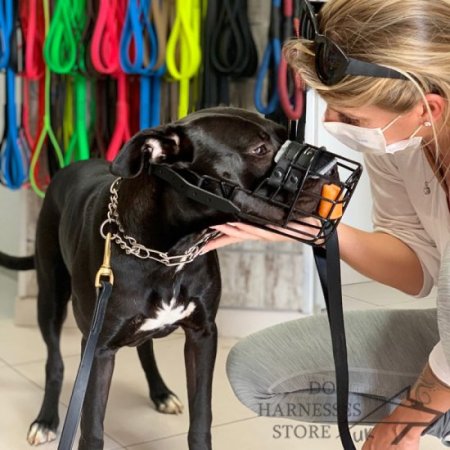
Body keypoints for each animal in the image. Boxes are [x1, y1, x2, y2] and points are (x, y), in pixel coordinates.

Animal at [0, 107, 284, 448]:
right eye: (260, 150)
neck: (167, 252)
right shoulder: (98, 349)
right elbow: (91, 427)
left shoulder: (202, 334)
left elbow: (201, 414)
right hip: (51, 297)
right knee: (54, 361)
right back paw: (45, 419)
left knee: (144, 347)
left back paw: (160, 392)